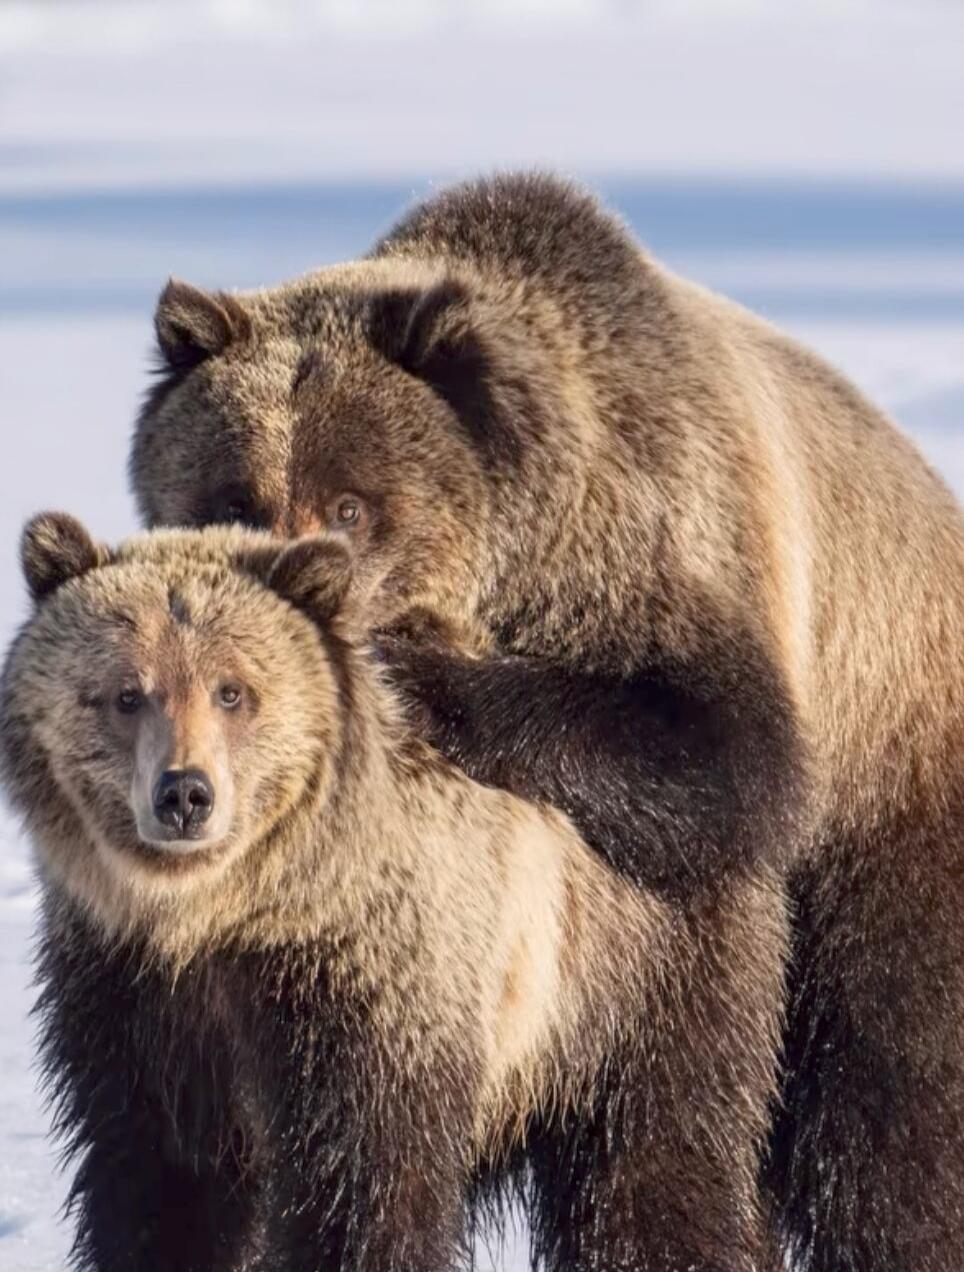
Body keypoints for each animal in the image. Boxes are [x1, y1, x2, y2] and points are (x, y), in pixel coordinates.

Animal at [0, 512, 782, 1272]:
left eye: (233, 690)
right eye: (126, 694)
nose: (185, 794)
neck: (220, 915)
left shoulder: (371, 982)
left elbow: (362, 1188)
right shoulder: (130, 996)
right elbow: (157, 1181)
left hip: (633, 977)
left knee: (652, 1170)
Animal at [128, 171, 964, 1272]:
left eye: (351, 504)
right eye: (234, 493)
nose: (289, 597)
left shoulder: (672, 541)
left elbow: (722, 749)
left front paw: (417, 666)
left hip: (887, 778)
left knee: (883, 1089)